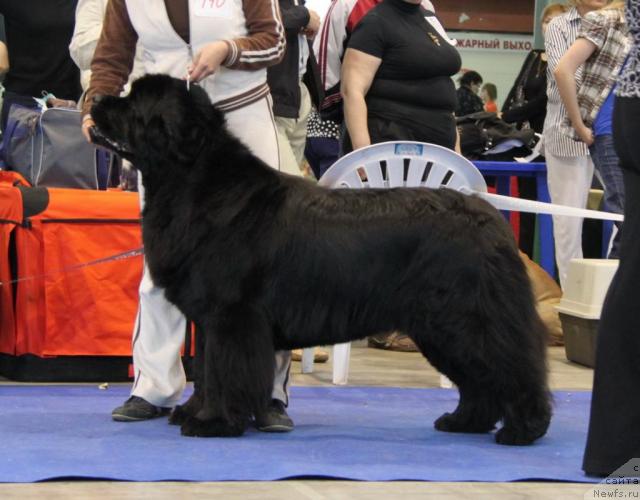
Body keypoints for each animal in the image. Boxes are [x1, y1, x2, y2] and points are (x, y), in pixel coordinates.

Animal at [90, 75, 552, 446]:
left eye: (132, 102)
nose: (96, 99)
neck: (195, 182)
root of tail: (492, 219)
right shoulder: (211, 320)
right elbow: (206, 368)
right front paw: (196, 411)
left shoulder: (232, 317)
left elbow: (226, 371)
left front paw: (214, 422)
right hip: (441, 327)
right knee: (479, 380)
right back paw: (464, 421)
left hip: (466, 318)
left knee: (512, 368)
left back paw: (522, 430)